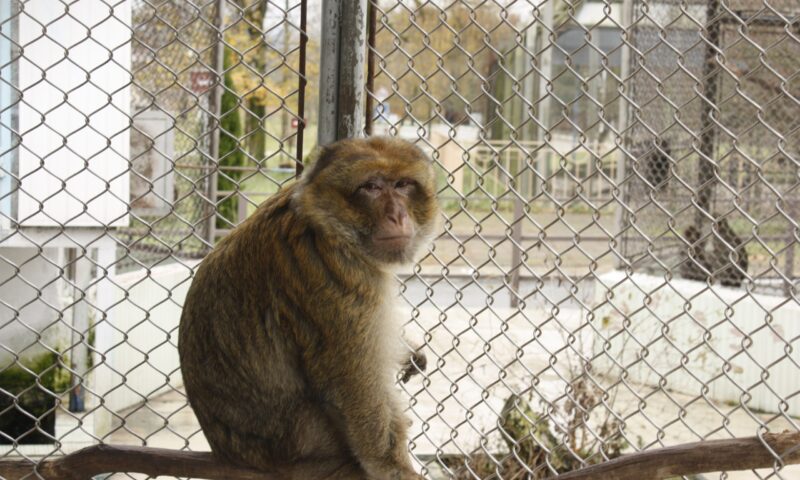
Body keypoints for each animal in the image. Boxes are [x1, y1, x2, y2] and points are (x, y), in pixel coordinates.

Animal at [180, 137, 438, 478]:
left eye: (403, 185)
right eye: (371, 187)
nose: (397, 215)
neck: (324, 222)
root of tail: (230, 453)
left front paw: (410, 351)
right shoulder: (339, 271)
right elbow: (355, 386)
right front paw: (392, 466)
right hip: (303, 441)